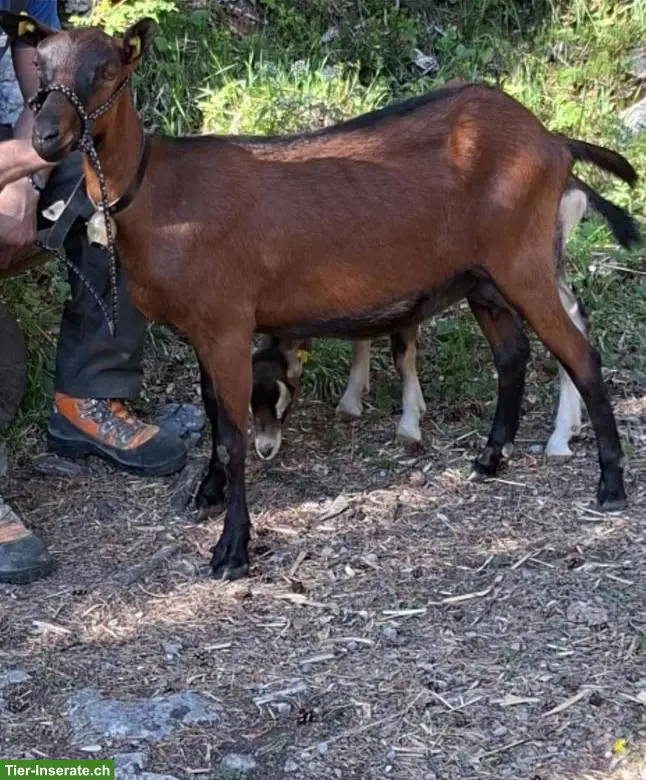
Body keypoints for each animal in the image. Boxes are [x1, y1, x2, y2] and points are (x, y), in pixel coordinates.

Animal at [249, 182, 593, 461]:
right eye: (251, 402)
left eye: (284, 400)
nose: (264, 449)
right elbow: (363, 338)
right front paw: (352, 401)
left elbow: (403, 356)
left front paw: (409, 424)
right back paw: (572, 427)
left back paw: (559, 439)